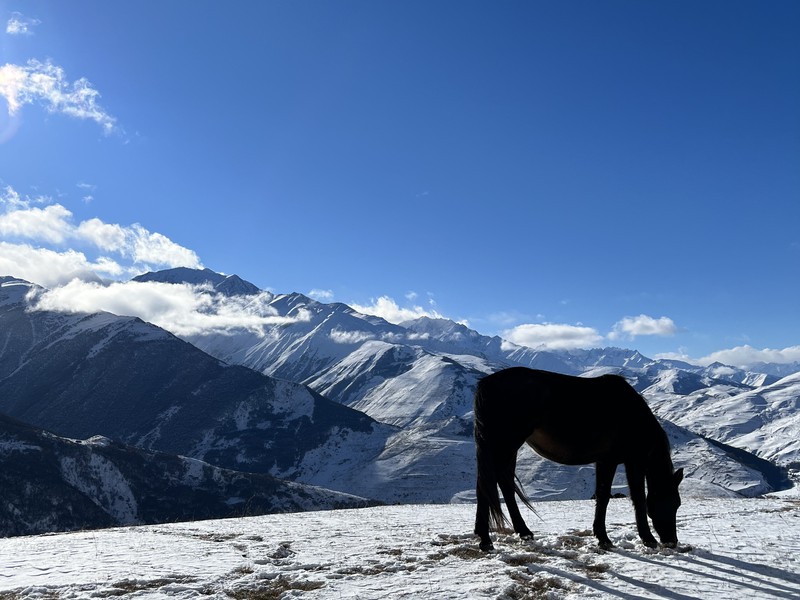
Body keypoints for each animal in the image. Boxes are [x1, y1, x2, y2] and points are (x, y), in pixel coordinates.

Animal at [472, 364, 684, 552]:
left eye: (678, 504)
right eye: (669, 503)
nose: (671, 541)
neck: (634, 417)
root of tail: (485, 383)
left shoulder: (605, 461)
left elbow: (603, 496)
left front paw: (602, 537)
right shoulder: (631, 462)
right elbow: (636, 498)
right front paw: (647, 539)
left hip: (506, 447)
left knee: (501, 483)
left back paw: (520, 532)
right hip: (505, 445)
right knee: (490, 483)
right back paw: (486, 540)